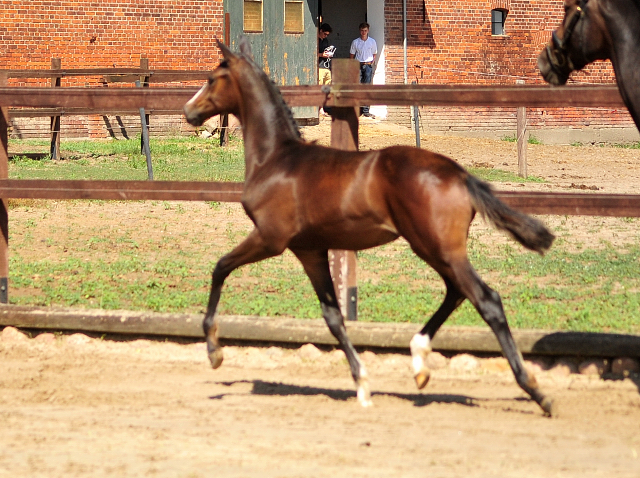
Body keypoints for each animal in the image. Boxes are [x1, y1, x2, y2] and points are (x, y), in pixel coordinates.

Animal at [184, 38, 556, 414]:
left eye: (213, 79)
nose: (189, 112)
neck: (275, 159)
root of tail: (460, 175)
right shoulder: (310, 250)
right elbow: (333, 317)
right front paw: (362, 383)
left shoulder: (270, 238)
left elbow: (220, 268)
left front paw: (214, 351)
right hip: (435, 248)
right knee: (456, 292)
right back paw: (419, 363)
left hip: (435, 246)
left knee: (486, 299)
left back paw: (536, 391)